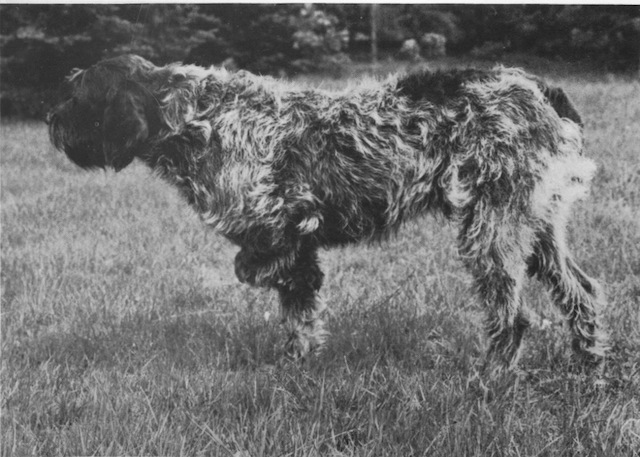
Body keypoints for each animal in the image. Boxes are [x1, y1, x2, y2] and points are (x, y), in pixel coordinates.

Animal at [48, 54, 607, 369]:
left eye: (78, 95)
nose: (50, 119)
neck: (199, 119)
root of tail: (538, 88)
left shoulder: (283, 239)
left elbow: (287, 306)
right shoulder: (297, 250)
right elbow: (300, 318)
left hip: (491, 230)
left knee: (513, 317)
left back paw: (489, 383)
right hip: (537, 229)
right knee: (582, 294)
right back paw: (589, 367)